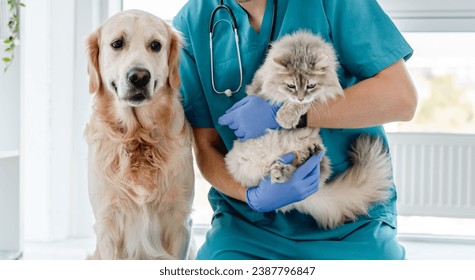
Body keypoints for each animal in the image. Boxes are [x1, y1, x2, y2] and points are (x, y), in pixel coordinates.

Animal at [84, 10, 194, 260]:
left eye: (155, 45)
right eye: (117, 43)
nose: (140, 76)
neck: (138, 136)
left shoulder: (179, 221)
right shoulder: (108, 223)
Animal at [225, 30, 392, 229]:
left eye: (311, 85)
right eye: (291, 85)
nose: (300, 97)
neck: (301, 48)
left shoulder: (322, 93)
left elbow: (306, 103)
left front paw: (286, 116)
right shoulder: (260, 88)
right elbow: (278, 97)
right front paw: (283, 113)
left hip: (313, 155)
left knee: (304, 166)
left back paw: (300, 159)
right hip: (244, 165)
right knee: (274, 174)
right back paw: (280, 176)